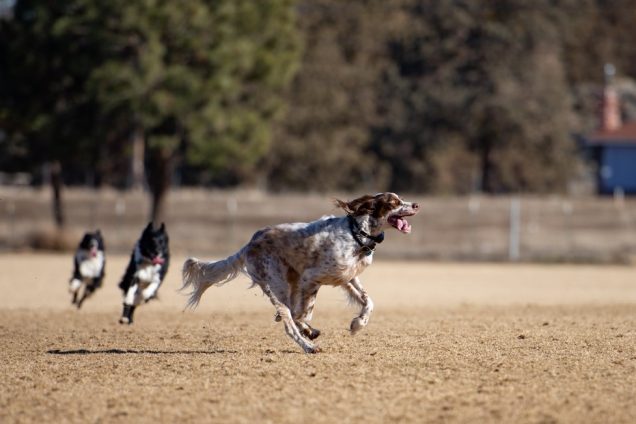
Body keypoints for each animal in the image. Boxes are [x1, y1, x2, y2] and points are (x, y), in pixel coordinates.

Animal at [180, 192, 418, 352]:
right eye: (394, 202)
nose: (416, 204)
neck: (356, 234)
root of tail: (250, 243)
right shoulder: (311, 278)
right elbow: (302, 313)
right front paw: (309, 329)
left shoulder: (347, 277)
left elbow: (368, 301)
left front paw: (357, 324)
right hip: (278, 286)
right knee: (288, 321)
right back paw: (308, 346)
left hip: (290, 281)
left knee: (290, 314)